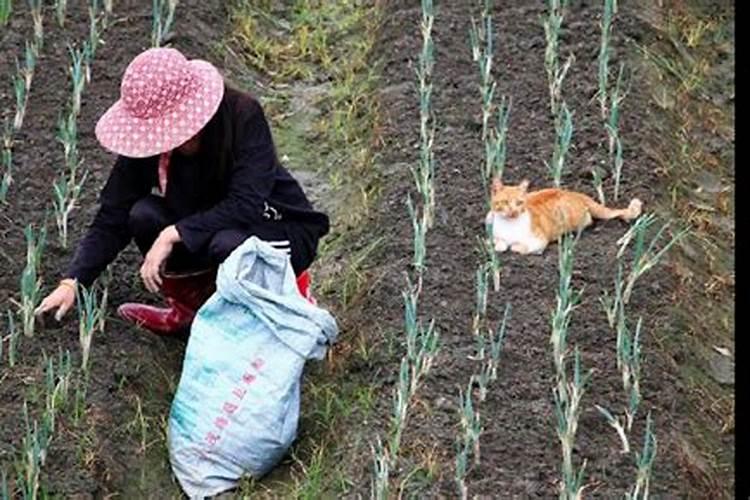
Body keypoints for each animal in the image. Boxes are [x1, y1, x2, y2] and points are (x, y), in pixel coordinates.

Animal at [490, 178, 644, 254]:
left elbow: (519, 248)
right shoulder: (494, 236)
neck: (510, 226)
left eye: (519, 203)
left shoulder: (539, 241)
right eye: (505, 202)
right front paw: (501, 246)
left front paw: (514, 246)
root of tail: (575, 193)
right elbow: (499, 245)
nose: (513, 212)